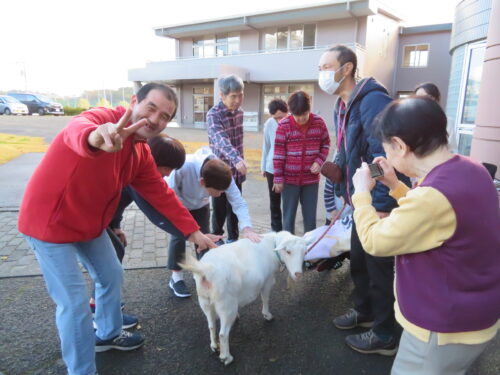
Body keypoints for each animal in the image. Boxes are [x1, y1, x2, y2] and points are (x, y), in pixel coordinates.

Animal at [180, 231, 312, 366]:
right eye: (288, 251)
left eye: (305, 252)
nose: (298, 274)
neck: (272, 246)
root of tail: (206, 271)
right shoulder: (267, 281)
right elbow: (265, 299)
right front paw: (267, 315)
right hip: (226, 305)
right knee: (223, 334)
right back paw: (226, 357)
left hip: (205, 301)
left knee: (211, 326)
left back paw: (214, 346)